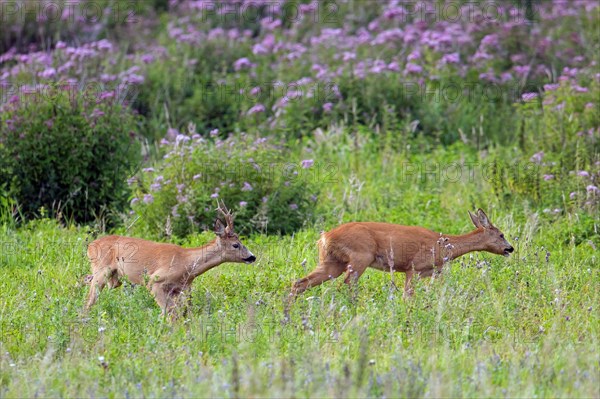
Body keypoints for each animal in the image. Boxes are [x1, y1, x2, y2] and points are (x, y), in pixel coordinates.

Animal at [85, 202, 255, 314]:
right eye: (235, 245)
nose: (252, 257)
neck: (187, 264)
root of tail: (90, 245)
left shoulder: (181, 289)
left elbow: (182, 313)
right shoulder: (155, 281)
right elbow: (170, 314)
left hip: (114, 279)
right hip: (102, 271)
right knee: (89, 300)